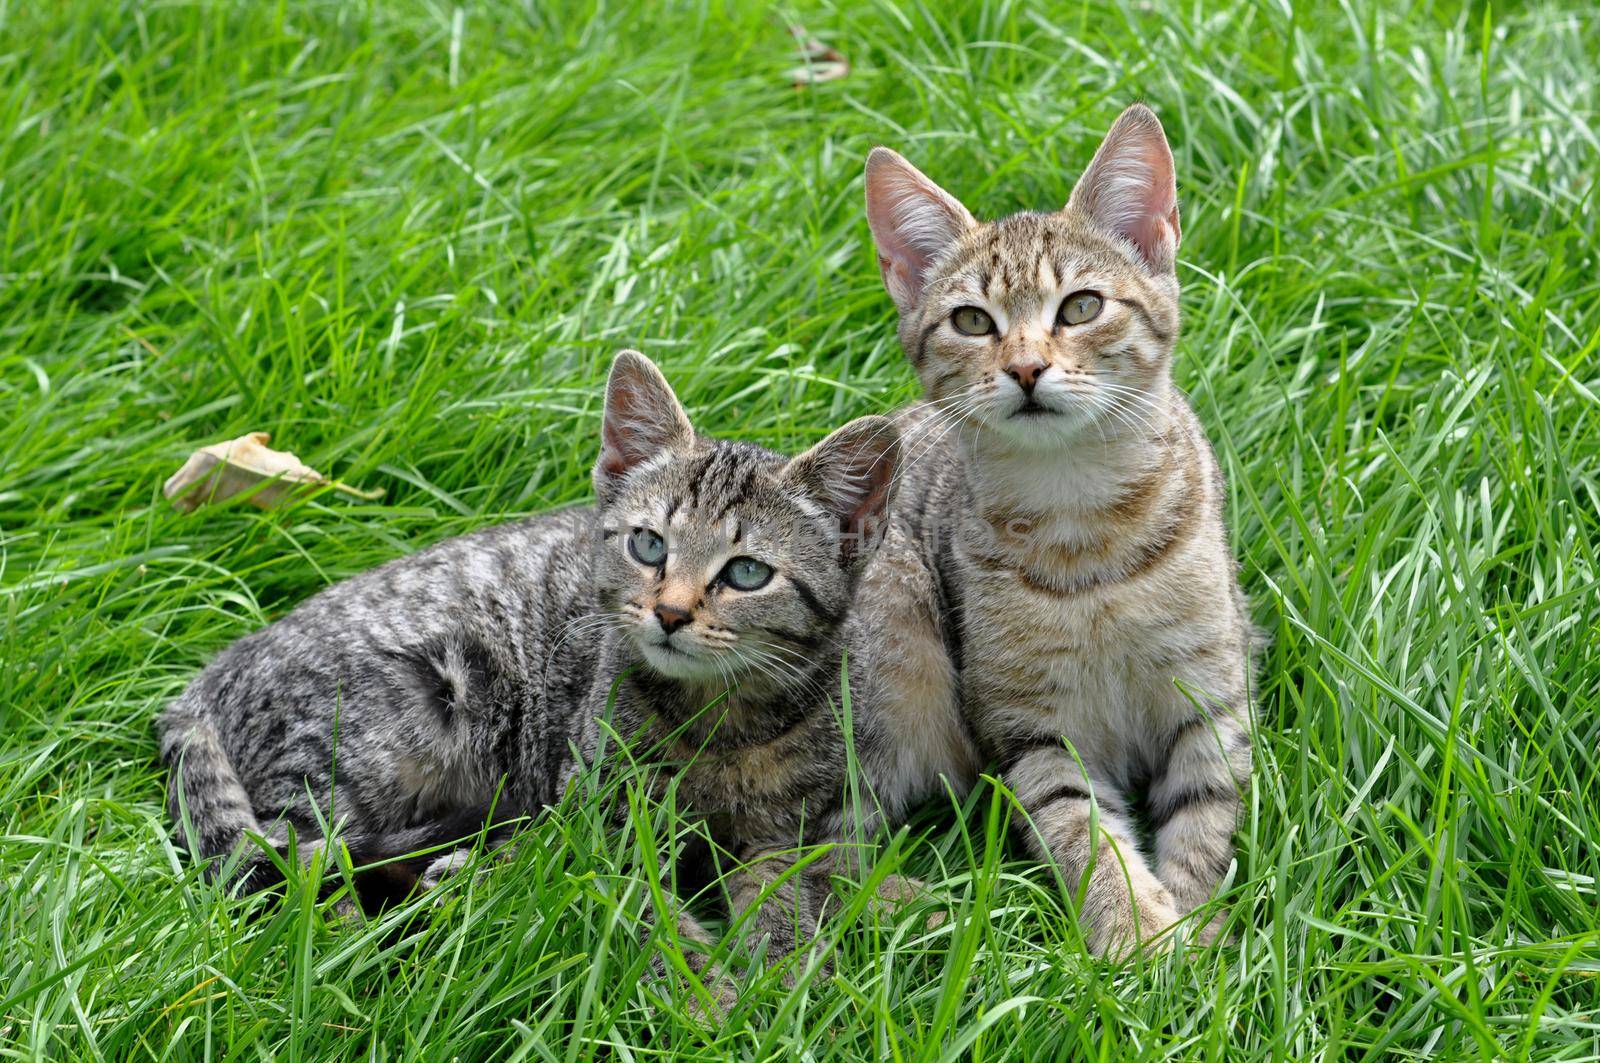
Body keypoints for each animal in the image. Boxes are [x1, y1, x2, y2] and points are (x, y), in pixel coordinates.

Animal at [156, 348, 934, 998]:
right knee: (300, 862)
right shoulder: (603, 825)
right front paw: (707, 996)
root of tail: (215, 671)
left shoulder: (791, 837)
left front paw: (794, 985)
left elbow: (785, 902)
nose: (671, 612)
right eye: (649, 544)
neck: (722, 722)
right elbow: (642, 913)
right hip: (394, 723)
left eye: (746, 573)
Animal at [870, 105, 1254, 954]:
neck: (1084, 523)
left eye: (1080, 306)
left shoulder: (1210, 691)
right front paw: (1138, 933)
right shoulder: (1032, 730)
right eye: (972, 321)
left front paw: (1196, 929)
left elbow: (1205, 815)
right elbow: (1084, 830)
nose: (1024, 368)